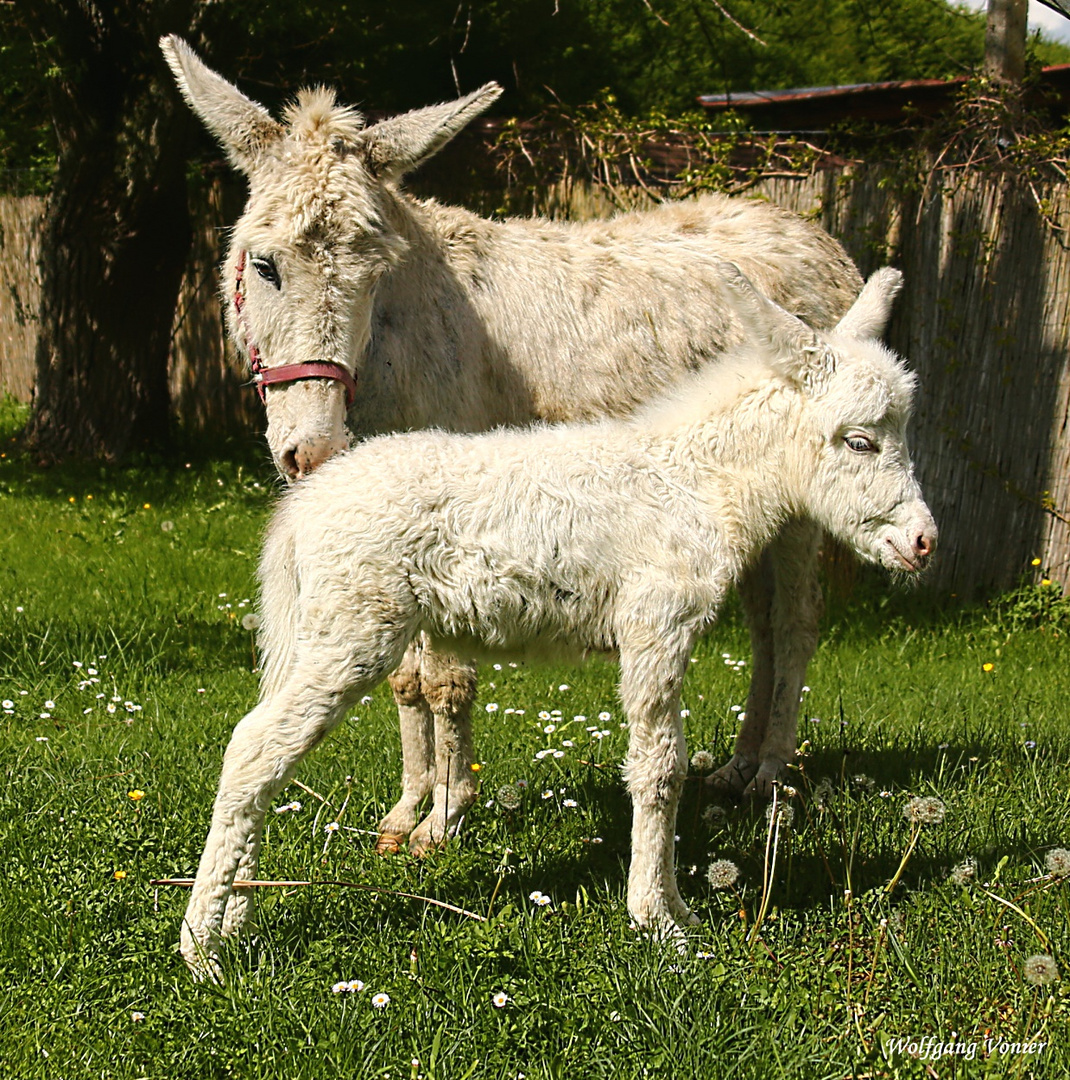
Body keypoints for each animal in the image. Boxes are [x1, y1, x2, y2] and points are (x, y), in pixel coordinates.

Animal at [182, 267, 937, 980]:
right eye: (860, 442)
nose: (925, 542)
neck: (694, 481)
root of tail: (301, 508)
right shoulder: (656, 627)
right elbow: (659, 769)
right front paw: (660, 922)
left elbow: (661, 766)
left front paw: (677, 908)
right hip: (352, 632)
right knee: (253, 749)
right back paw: (201, 948)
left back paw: (236, 914)